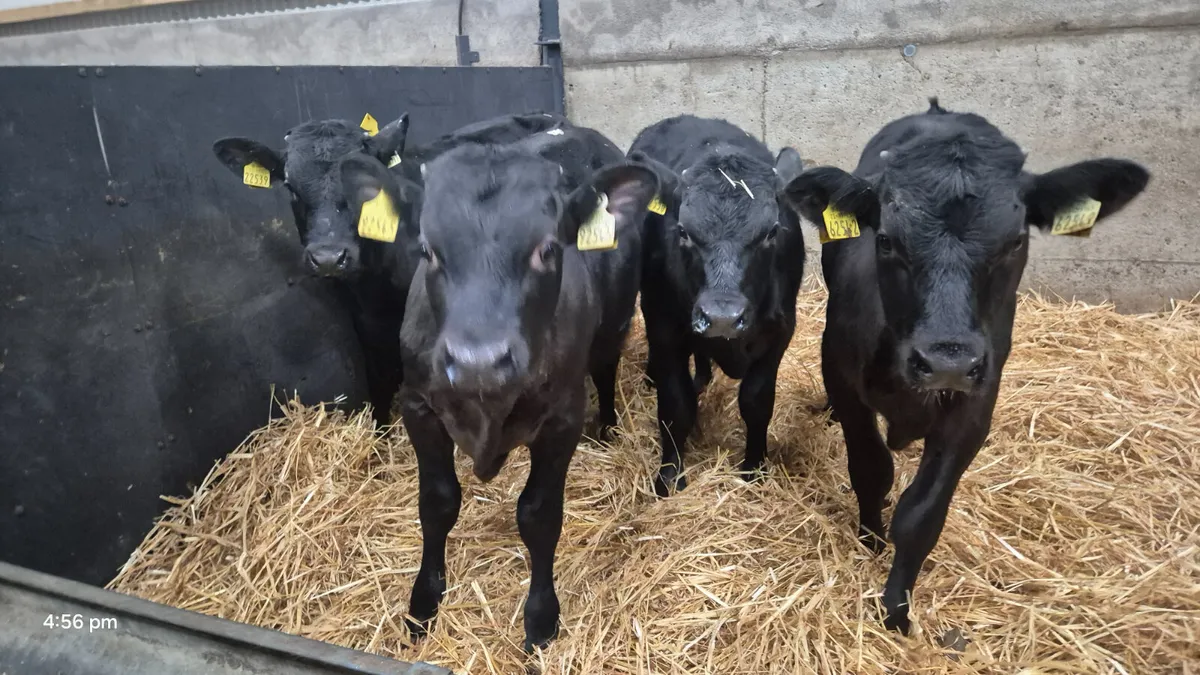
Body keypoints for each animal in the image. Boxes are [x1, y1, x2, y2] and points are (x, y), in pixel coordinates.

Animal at [380, 124, 657, 652]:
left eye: (547, 249)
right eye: (427, 249)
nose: (480, 362)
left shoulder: (562, 419)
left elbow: (539, 516)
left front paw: (541, 621)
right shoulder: (417, 405)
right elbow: (437, 502)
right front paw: (423, 604)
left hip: (615, 322)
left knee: (606, 367)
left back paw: (608, 428)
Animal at [627, 114, 807, 497]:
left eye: (772, 232)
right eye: (682, 231)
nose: (722, 317)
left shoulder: (781, 331)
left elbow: (757, 402)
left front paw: (754, 468)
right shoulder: (665, 327)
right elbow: (675, 405)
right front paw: (670, 476)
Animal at [781, 98, 1150, 633]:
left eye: (1016, 241)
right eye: (886, 239)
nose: (946, 362)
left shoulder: (976, 404)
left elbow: (921, 515)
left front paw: (897, 611)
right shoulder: (843, 376)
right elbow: (870, 469)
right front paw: (870, 540)